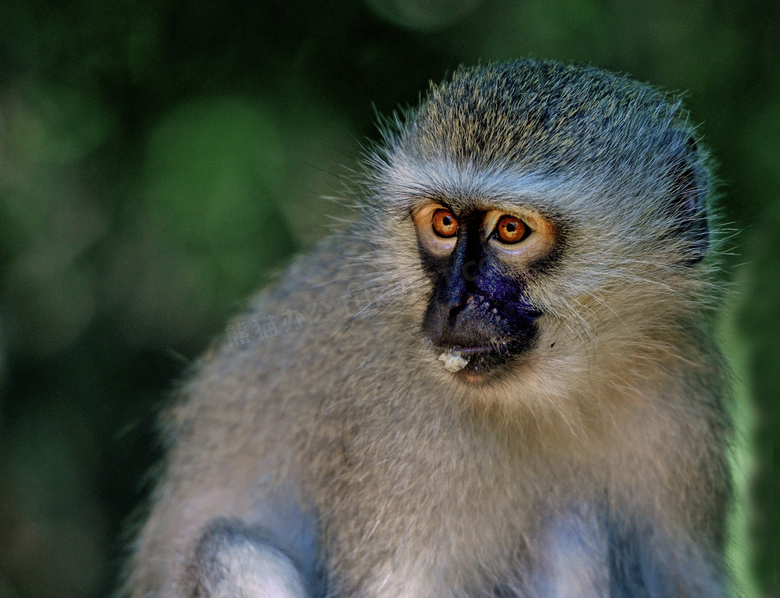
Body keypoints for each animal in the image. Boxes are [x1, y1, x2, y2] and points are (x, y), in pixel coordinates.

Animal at [125, 61, 736, 598]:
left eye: (509, 230)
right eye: (443, 223)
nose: (452, 303)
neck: (551, 394)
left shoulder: (678, 406)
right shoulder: (399, 443)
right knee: (229, 548)